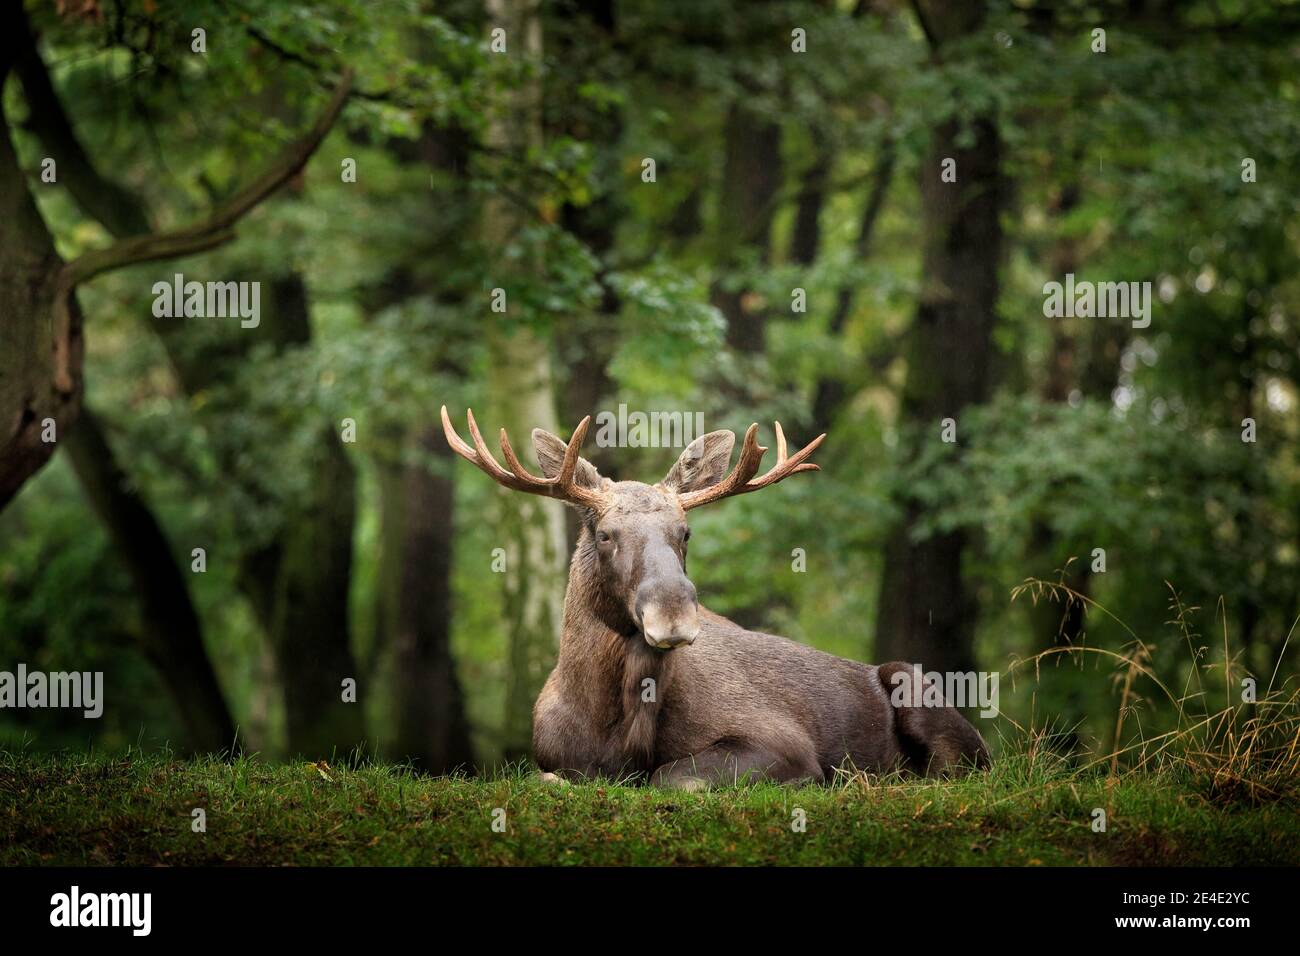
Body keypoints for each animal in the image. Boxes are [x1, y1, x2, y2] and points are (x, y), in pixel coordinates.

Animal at [441, 408, 987, 790]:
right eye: (605, 534)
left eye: (685, 532)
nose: (673, 614)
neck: (616, 731)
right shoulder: (551, 757)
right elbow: (549, 777)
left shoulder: (784, 741)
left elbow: (674, 778)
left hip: (923, 694)